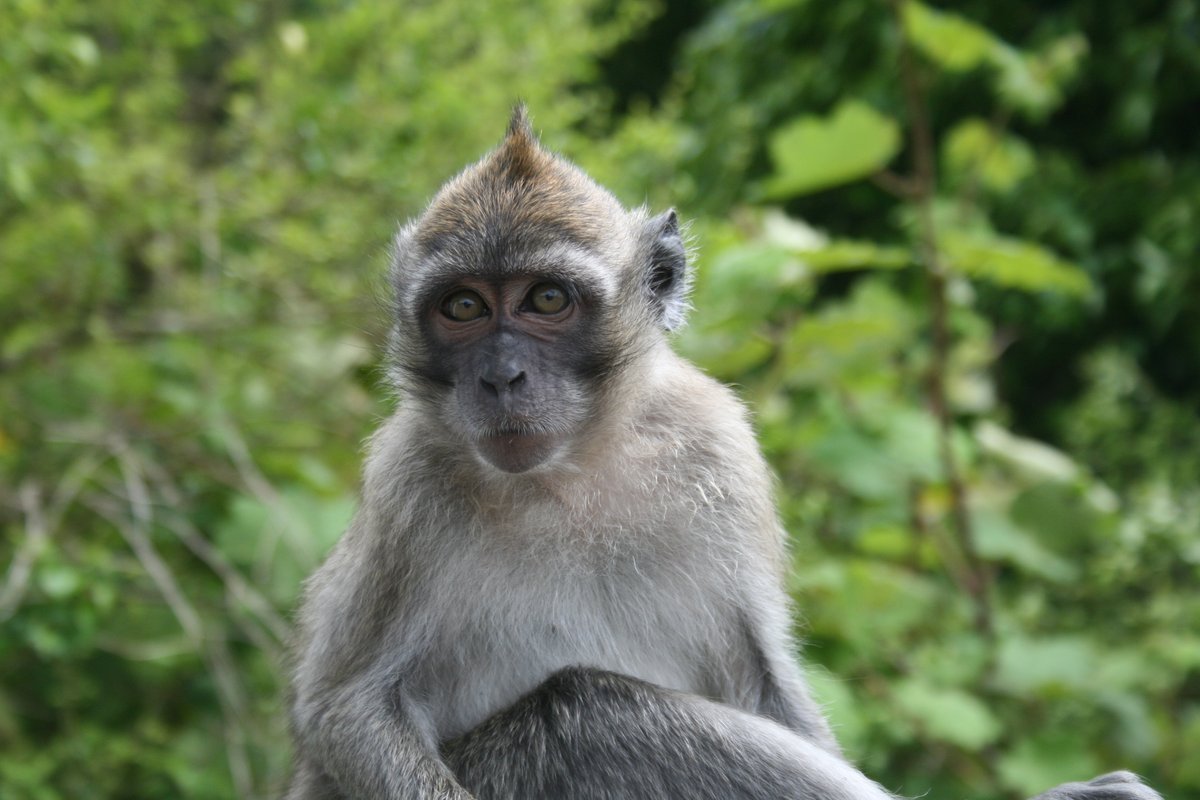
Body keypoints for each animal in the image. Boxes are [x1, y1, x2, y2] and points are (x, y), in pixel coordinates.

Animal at [284, 106, 1162, 800]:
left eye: (546, 299)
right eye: (463, 307)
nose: (501, 377)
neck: (568, 471)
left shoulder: (717, 448)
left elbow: (758, 683)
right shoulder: (404, 483)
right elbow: (347, 714)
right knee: (586, 714)